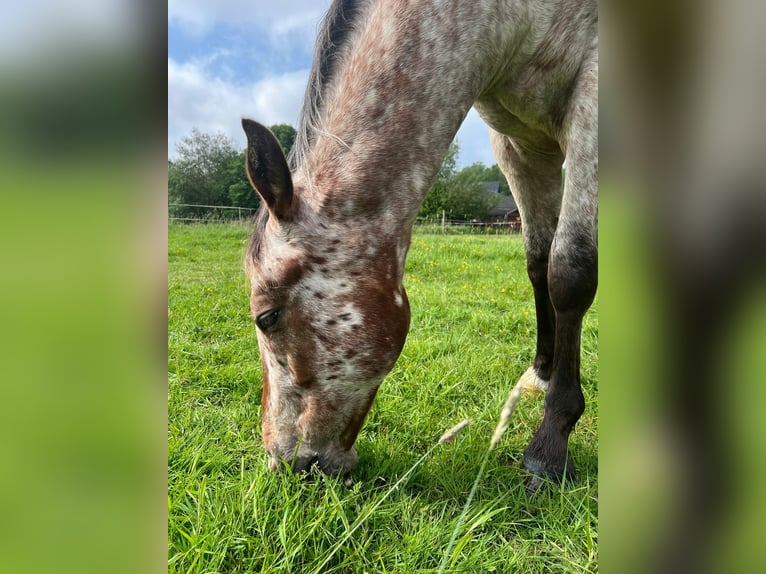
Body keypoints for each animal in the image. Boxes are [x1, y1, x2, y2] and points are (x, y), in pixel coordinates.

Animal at [243, 0, 596, 490]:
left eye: (267, 317)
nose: (282, 461)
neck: (511, 21)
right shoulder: (518, 144)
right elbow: (538, 262)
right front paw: (541, 373)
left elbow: (570, 272)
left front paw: (551, 441)